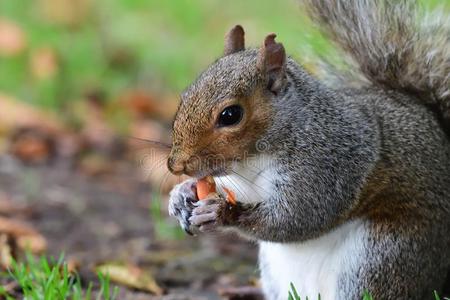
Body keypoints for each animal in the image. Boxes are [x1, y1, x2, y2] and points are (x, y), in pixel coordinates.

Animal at [166, 1, 450, 298]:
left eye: (231, 115)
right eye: (185, 96)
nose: (175, 165)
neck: (252, 161)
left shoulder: (329, 163)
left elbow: (298, 217)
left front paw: (221, 212)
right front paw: (181, 195)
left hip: (380, 257)